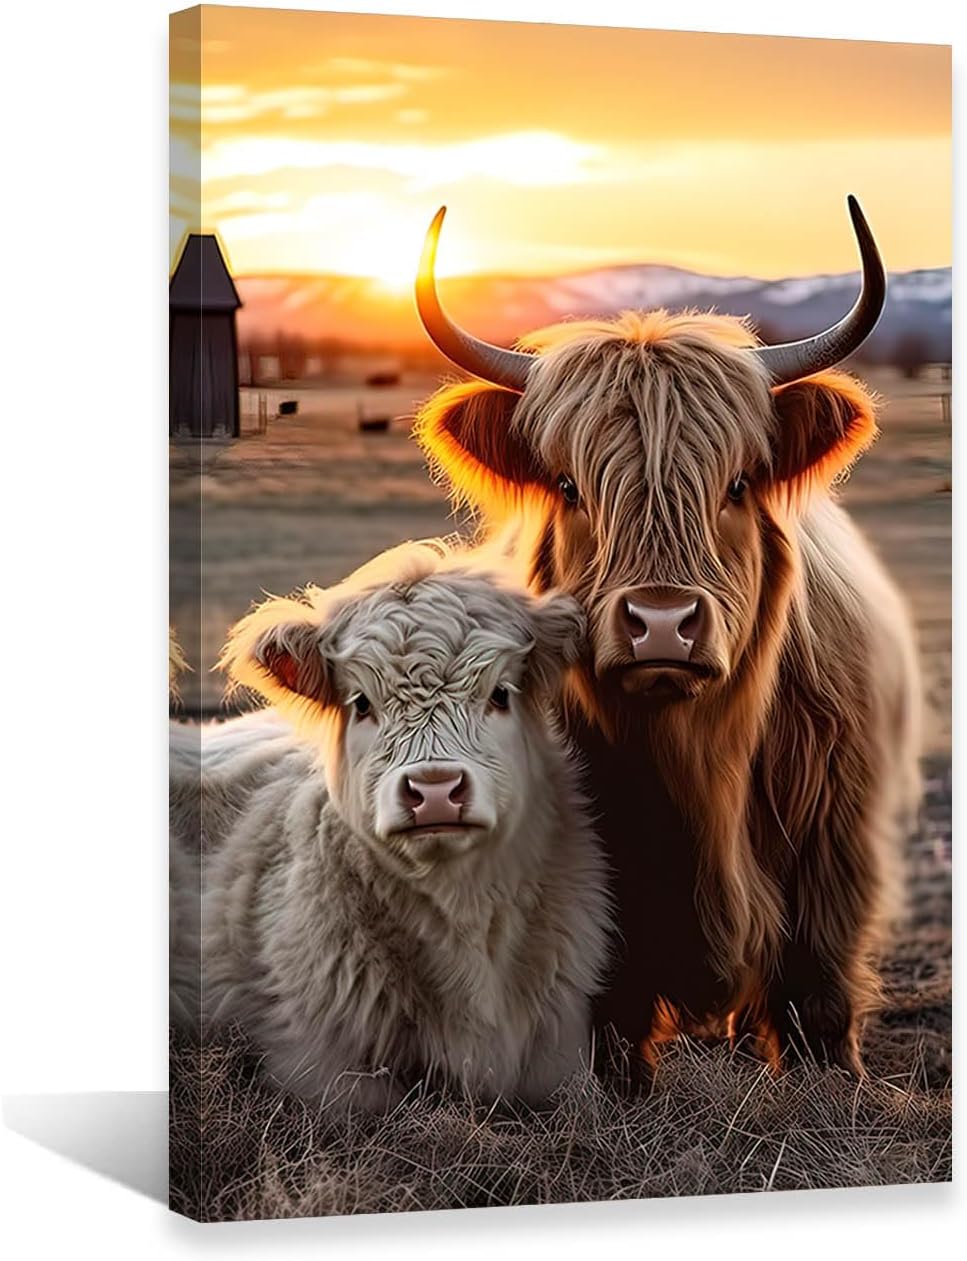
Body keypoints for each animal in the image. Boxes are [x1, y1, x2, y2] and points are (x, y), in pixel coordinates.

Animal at [412, 197, 921, 1078]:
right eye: (568, 486)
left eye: (738, 484)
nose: (658, 623)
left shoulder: (837, 842)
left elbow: (817, 989)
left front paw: (837, 1081)